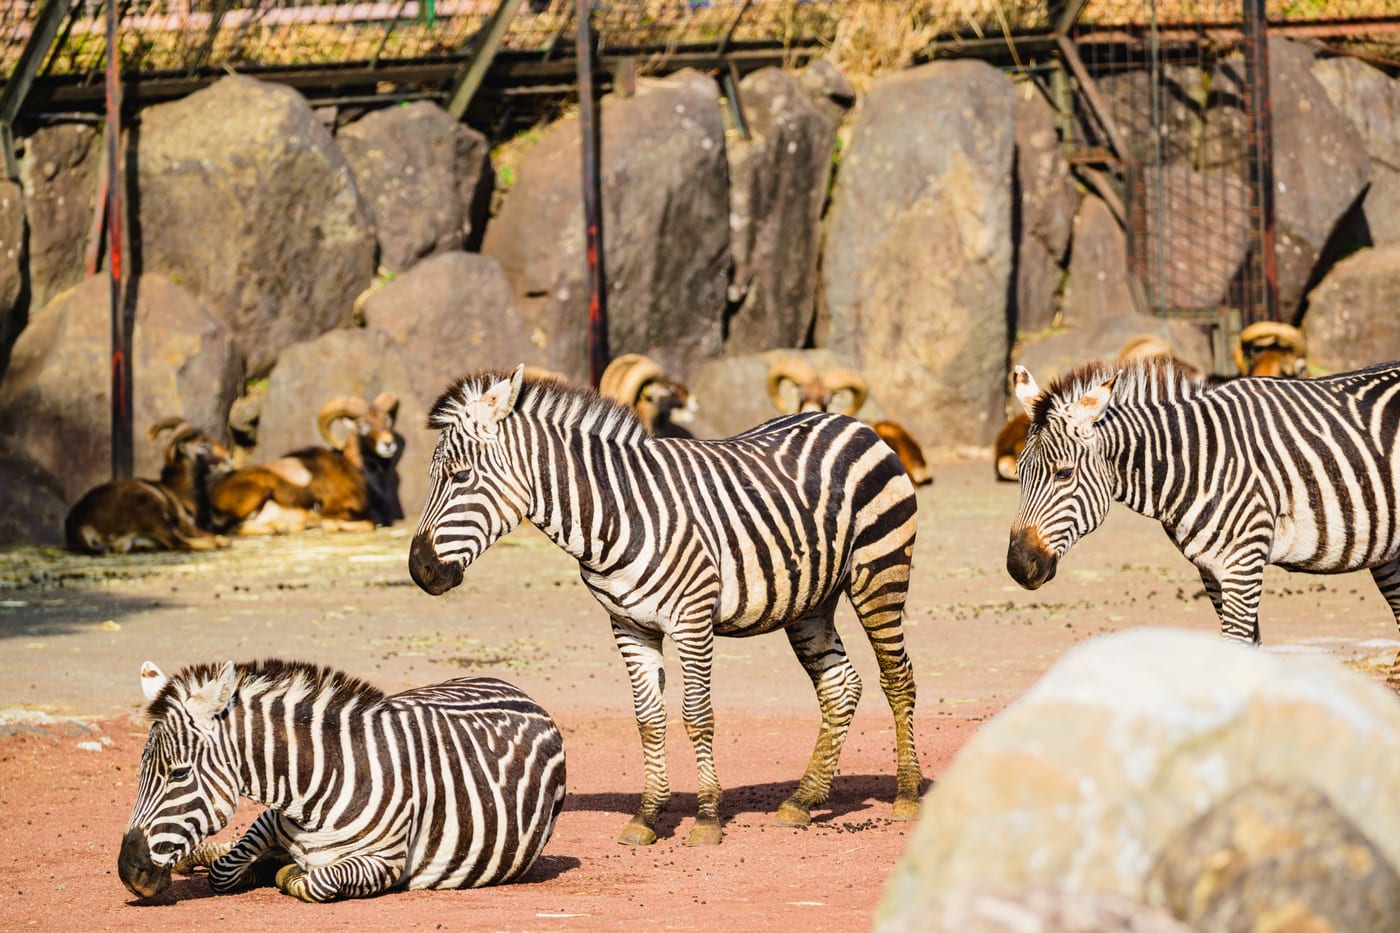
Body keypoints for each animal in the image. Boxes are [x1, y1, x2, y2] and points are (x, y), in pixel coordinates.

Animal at [118, 658, 566, 902]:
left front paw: (282, 870)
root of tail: (520, 692)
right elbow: (224, 868)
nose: (128, 872)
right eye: (140, 772)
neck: (318, 783)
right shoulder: (270, 817)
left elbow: (315, 880)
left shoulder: (384, 863)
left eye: (179, 773)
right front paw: (250, 862)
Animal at [408, 365, 923, 847]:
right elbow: (648, 719)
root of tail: (847, 420)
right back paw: (803, 799)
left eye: (460, 476)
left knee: (897, 677)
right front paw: (647, 815)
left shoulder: (692, 620)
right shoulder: (629, 626)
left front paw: (707, 817)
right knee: (839, 686)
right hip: (810, 602)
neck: (616, 515)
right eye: (433, 478)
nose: (420, 570)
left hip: (880, 573)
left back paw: (907, 796)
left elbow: (696, 714)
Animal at [1006, 356, 1400, 661]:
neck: (1196, 461)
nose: (1019, 567)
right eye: (1019, 473)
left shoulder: (1243, 563)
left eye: (1064, 474)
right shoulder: (1211, 571)